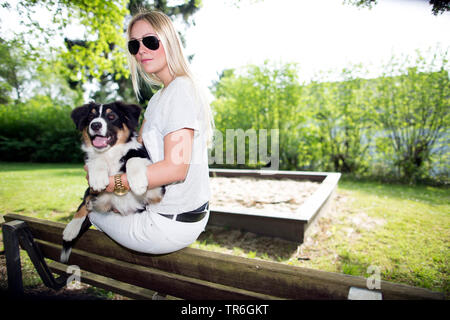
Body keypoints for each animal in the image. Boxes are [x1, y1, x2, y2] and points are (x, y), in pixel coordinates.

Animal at [60, 101, 164, 264]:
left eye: (112, 116)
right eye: (91, 116)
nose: (95, 125)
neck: (110, 153)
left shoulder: (156, 192)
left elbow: (133, 158)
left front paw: (138, 184)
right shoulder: (91, 182)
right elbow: (96, 161)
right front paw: (98, 177)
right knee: (85, 203)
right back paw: (71, 229)